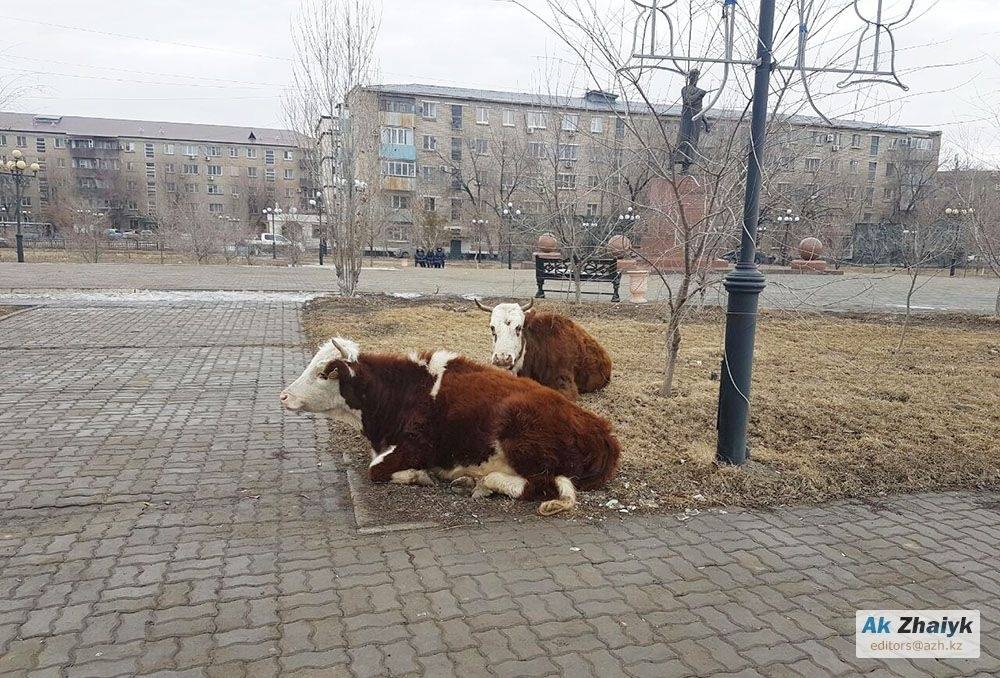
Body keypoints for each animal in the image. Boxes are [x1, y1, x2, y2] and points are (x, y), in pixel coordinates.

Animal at [279, 337, 620, 515]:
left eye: (323, 373)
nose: (284, 395)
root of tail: (601, 428)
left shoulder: (419, 446)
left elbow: (375, 470)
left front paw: (418, 476)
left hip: (523, 441)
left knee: (543, 485)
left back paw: (481, 483)